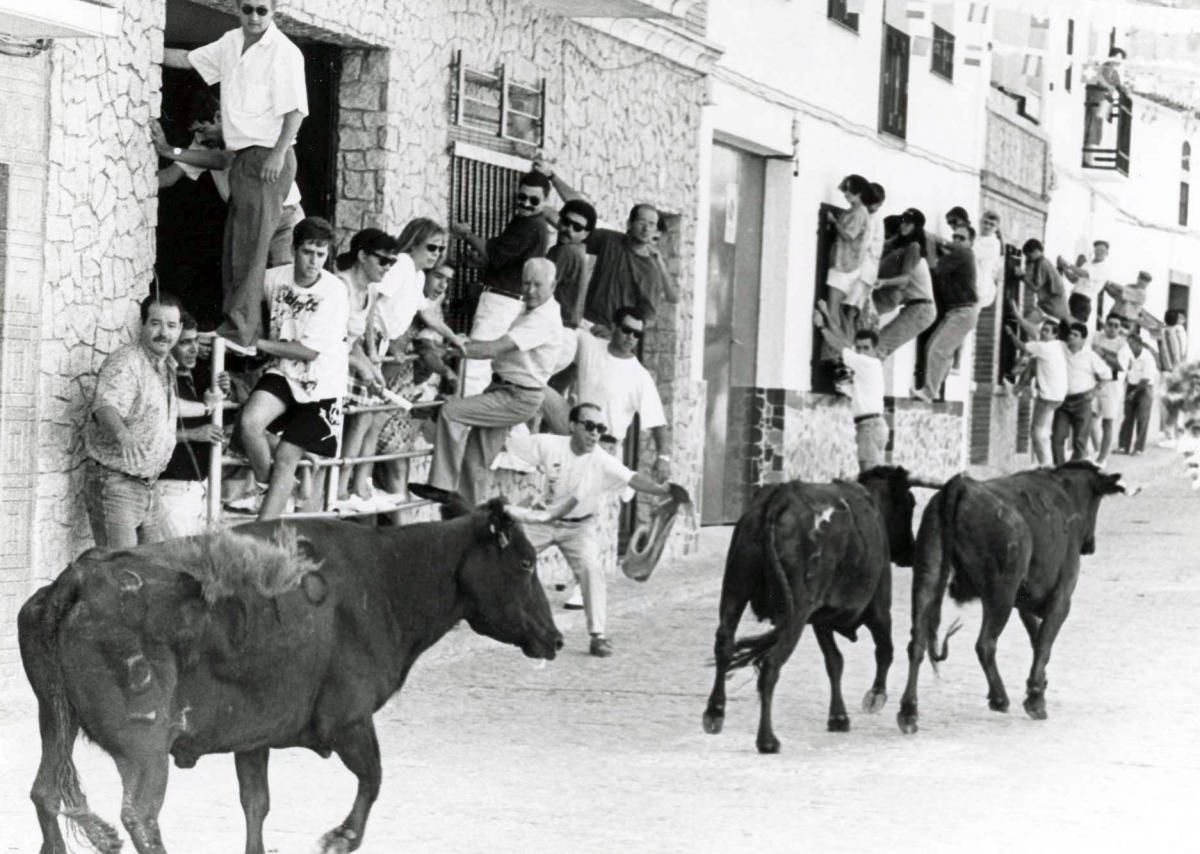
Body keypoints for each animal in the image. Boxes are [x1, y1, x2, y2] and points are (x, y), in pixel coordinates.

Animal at [18, 494, 561, 854]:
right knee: (140, 815)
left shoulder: (253, 735)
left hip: (54, 721)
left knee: (45, 792)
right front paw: (340, 837)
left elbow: (256, 804)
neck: (388, 577)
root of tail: (82, 575)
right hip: (144, 744)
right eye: (526, 562)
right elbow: (374, 777)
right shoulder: (349, 720)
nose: (555, 639)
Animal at [700, 467, 936, 753]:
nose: (911, 552)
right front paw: (875, 696)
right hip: (795, 610)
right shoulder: (879, 606)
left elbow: (834, 661)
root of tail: (780, 498)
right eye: (910, 503)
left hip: (735, 588)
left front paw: (838, 717)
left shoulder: (821, 618)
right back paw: (767, 740)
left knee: (724, 645)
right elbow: (884, 650)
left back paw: (714, 713)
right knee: (771, 664)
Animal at [902, 460, 1123, 734]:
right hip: (1001, 593)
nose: (1090, 545)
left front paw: (1040, 689)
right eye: (1098, 501)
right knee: (985, 643)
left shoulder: (1025, 603)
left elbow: (1036, 639)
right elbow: (1044, 644)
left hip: (927, 577)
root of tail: (962, 486)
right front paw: (1036, 699)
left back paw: (908, 713)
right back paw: (999, 698)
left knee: (917, 643)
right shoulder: (1062, 598)